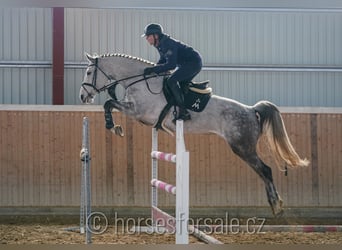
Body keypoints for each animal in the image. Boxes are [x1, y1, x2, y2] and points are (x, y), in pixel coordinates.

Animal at [80, 52, 310, 217]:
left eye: (89, 73)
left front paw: (113, 126)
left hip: (242, 147)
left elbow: (109, 103)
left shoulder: (138, 112)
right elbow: (111, 103)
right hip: (243, 147)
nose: (83, 96)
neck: (139, 82)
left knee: (265, 170)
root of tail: (251, 110)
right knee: (263, 172)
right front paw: (115, 126)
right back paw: (276, 205)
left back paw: (277, 206)